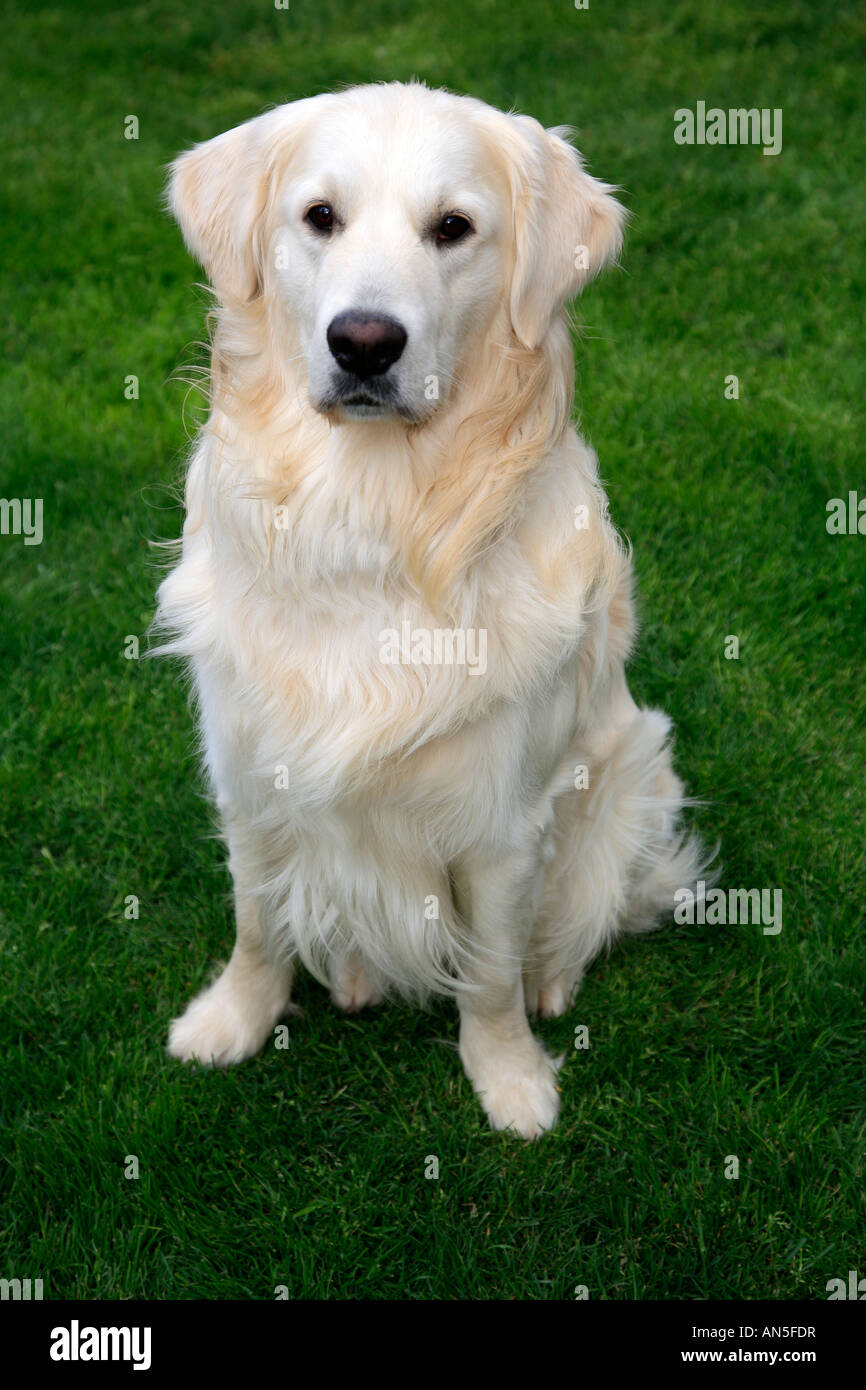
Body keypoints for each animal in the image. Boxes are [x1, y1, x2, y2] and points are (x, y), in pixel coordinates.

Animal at [157, 81, 706, 1134]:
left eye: (453, 228)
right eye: (320, 217)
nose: (364, 341)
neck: (373, 520)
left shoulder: (502, 822)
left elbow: (487, 977)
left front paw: (512, 1081)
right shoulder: (248, 774)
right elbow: (256, 924)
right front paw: (232, 1022)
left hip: (632, 768)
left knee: (578, 921)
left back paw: (552, 983)